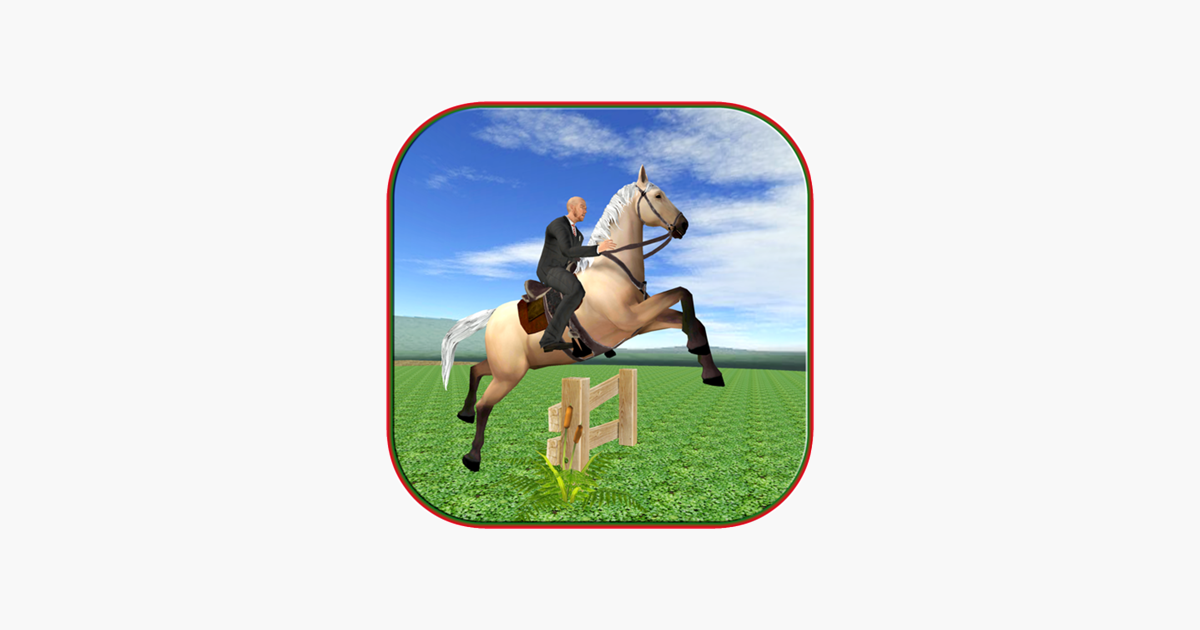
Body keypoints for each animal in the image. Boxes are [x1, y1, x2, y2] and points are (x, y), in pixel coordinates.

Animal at [441, 166, 724, 472]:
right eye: (659, 196)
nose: (683, 225)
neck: (614, 271)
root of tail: (493, 315)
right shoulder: (632, 318)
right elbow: (683, 291)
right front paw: (699, 353)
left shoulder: (640, 323)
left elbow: (692, 319)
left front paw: (710, 370)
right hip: (509, 374)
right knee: (485, 405)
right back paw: (472, 456)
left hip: (507, 367)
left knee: (475, 370)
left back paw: (465, 412)